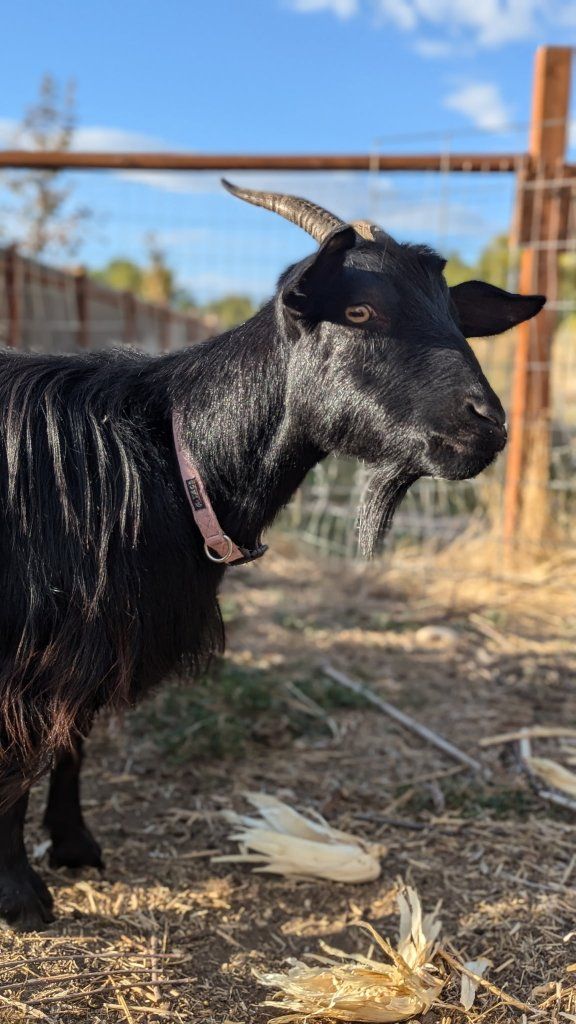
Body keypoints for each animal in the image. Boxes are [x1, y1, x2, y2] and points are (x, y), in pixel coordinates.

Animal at [0, 181, 543, 929]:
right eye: (358, 310)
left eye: (454, 316)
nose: (486, 425)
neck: (167, 455)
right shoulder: (36, 647)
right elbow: (17, 765)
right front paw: (21, 898)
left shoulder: (96, 637)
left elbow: (71, 738)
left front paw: (76, 845)